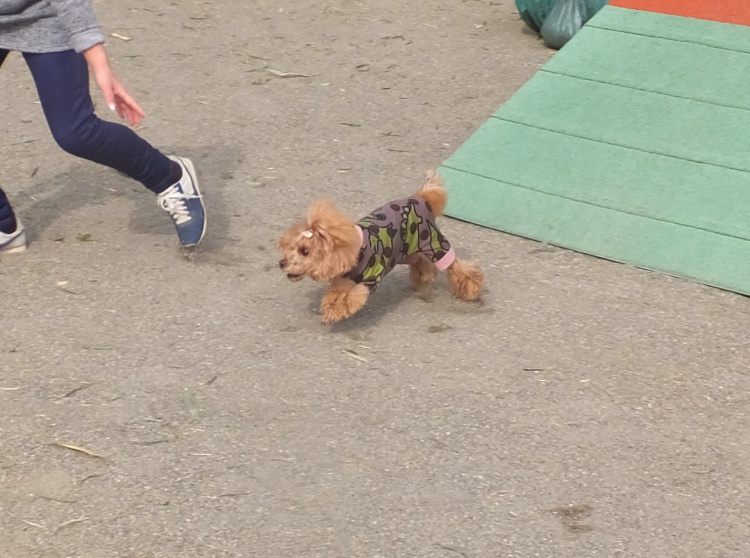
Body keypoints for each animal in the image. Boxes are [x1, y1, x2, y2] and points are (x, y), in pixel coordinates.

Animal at [278, 170, 484, 324]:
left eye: (304, 251)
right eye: (290, 247)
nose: (281, 263)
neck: (352, 250)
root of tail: (421, 197)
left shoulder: (370, 278)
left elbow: (353, 296)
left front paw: (337, 311)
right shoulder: (345, 277)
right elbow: (335, 293)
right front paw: (330, 308)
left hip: (433, 243)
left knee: (458, 266)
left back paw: (470, 290)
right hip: (406, 250)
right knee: (420, 261)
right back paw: (425, 276)